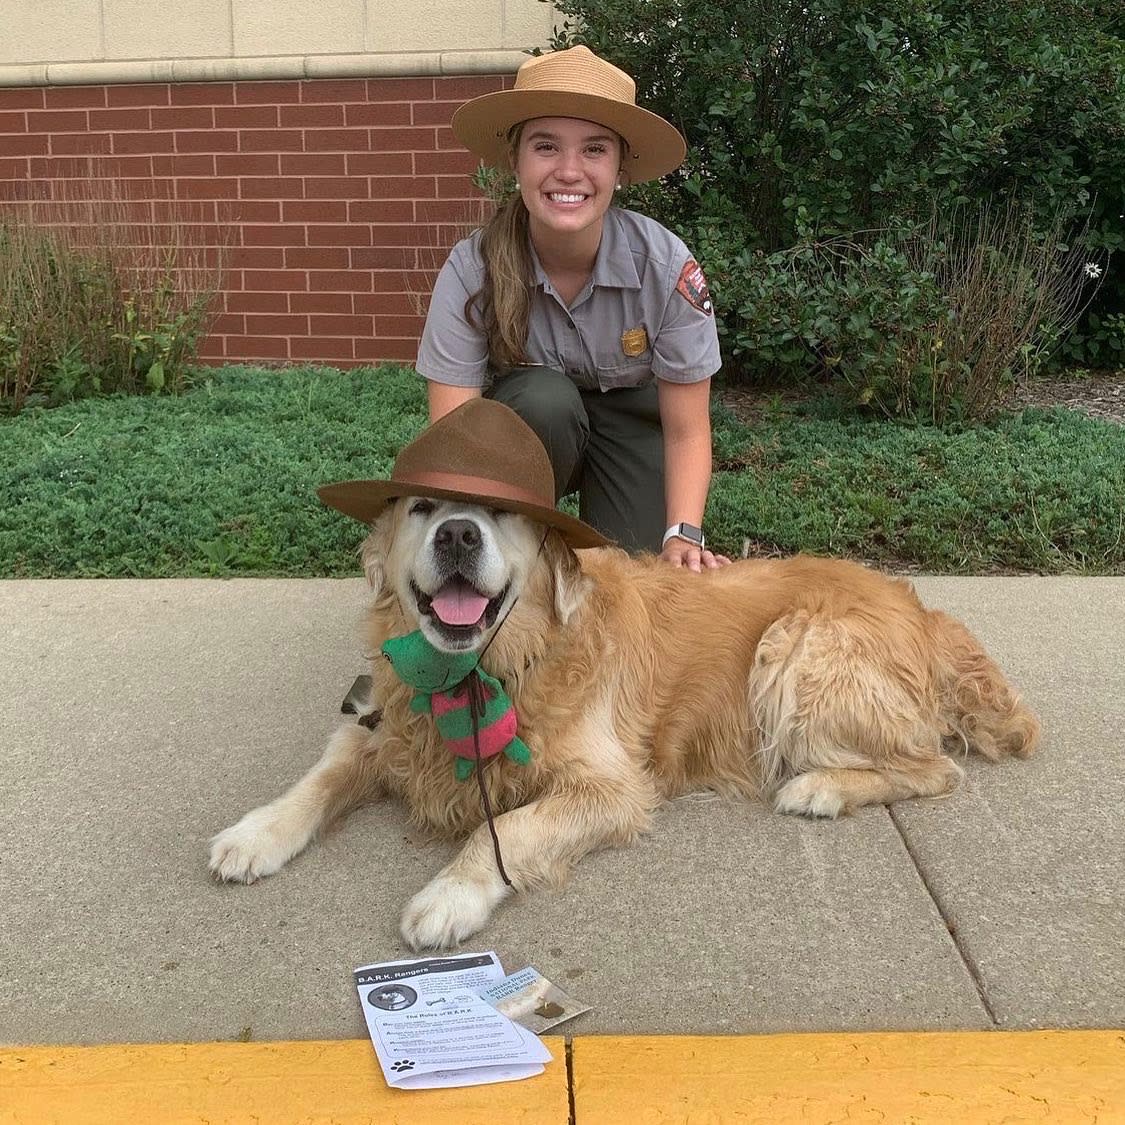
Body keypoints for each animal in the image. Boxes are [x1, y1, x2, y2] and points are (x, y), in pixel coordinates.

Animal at [209, 501, 1035, 949]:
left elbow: (506, 829)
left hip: (795, 647)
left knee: (933, 767)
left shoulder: (610, 787)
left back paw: (820, 787)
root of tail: (922, 610)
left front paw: (450, 895)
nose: (457, 534)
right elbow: (319, 777)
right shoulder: (383, 724)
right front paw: (255, 833)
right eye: (420, 507)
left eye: (500, 513)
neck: (492, 666)